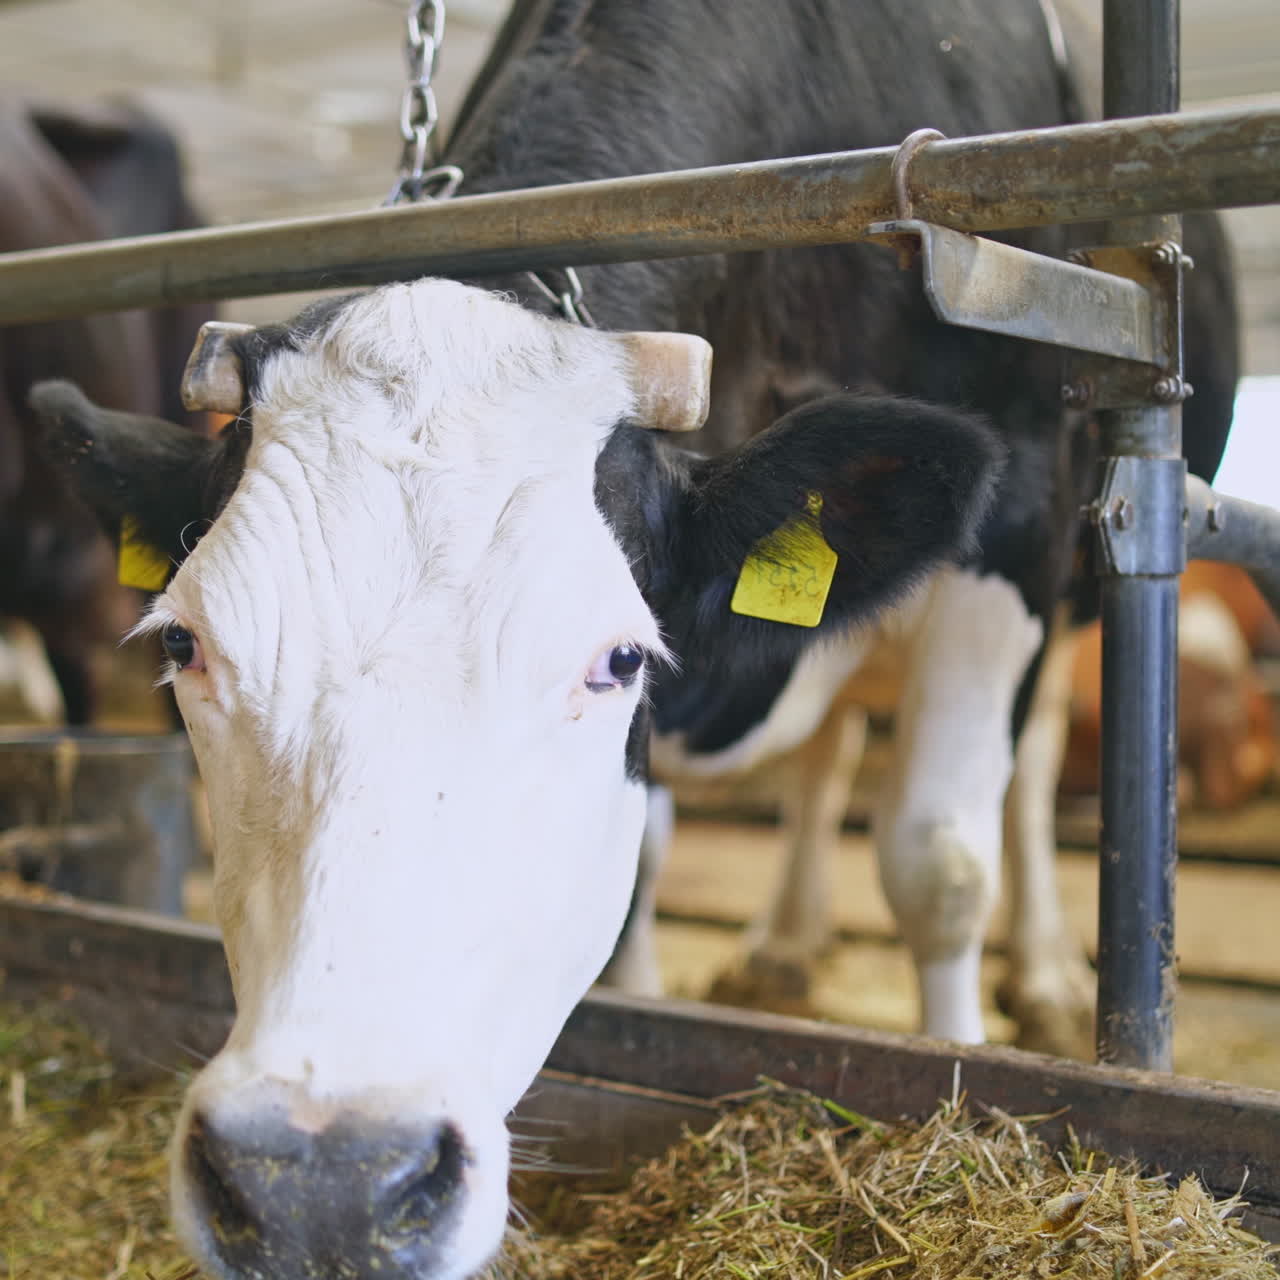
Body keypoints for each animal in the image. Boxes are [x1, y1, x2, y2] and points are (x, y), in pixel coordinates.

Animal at [28, 1, 1235, 1276]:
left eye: (615, 658)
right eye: (185, 647)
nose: (321, 1186)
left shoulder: (1012, 524)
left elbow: (935, 859)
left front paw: (961, 1060)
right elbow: (648, 857)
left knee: (1025, 761)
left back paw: (1044, 976)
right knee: (823, 758)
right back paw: (782, 944)